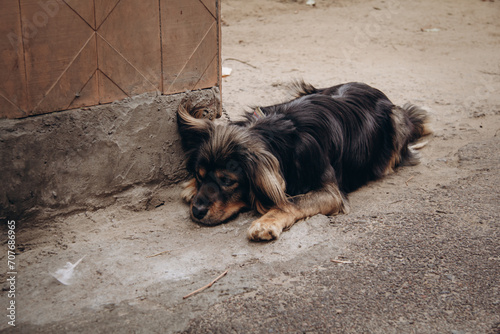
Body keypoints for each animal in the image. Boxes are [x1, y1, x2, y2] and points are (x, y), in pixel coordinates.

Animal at [178, 82, 432, 241]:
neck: (279, 135)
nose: (197, 211)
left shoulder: (331, 193)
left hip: (396, 119)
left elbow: (293, 201)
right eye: (200, 175)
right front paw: (191, 186)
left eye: (228, 181)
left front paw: (265, 222)